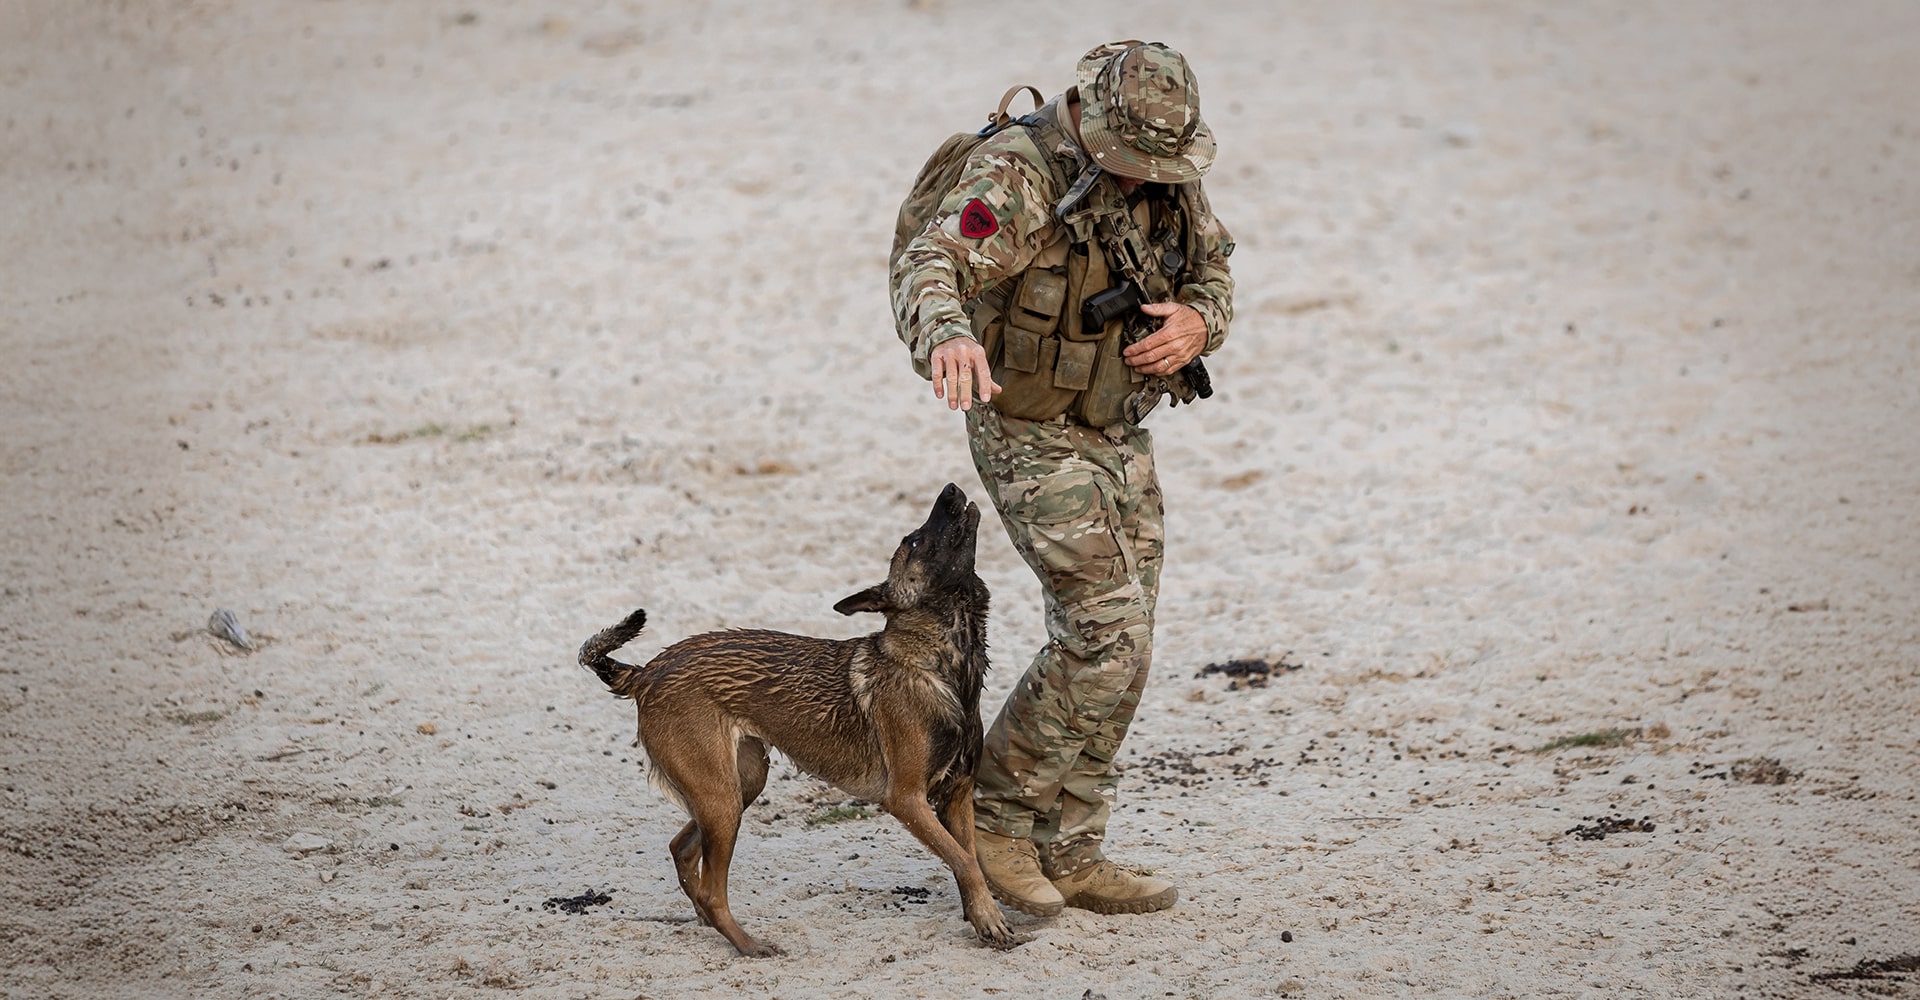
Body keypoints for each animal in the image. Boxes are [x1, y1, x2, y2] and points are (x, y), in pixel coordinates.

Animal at [576, 481, 1013, 952]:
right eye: (913, 541)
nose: (951, 488)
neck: (940, 664)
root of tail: (647, 671)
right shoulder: (907, 799)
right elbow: (964, 860)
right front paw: (989, 917)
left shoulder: (957, 794)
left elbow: (968, 857)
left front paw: (979, 914)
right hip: (722, 798)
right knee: (712, 888)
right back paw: (748, 945)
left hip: (741, 784)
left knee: (681, 849)